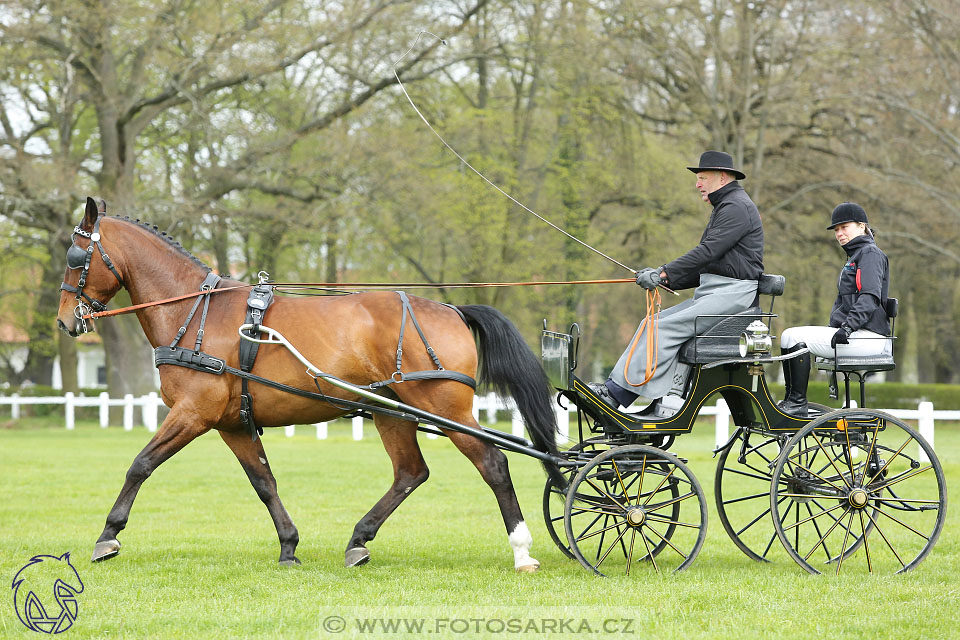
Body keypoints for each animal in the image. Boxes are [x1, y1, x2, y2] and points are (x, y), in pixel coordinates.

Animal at [54, 198, 564, 572]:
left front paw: (108, 536)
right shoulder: (232, 424)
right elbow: (264, 482)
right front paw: (288, 545)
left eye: (76, 256)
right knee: (410, 473)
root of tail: (451, 309)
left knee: (493, 464)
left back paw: (521, 549)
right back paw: (359, 540)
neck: (195, 313)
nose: (64, 321)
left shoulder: (193, 414)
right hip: (391, 411)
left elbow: (140, 465)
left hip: (446, 409)